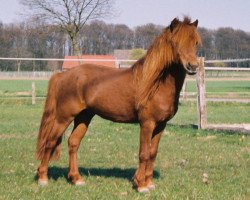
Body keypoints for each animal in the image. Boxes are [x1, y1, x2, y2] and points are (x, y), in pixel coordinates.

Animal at [36, 17, 201, 192]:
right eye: (175, 43)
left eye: (196, 42)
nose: (192, 66)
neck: (155, 83)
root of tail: (63, 75)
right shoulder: (147, 123)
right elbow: (144, 153)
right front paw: (141, 185)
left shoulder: (161, 125)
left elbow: (152, 153)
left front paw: (149, 183)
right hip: (63, 117)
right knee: (50, 141)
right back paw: (43, 178)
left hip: (84, 117)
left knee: (73, 143)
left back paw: (76, 179)